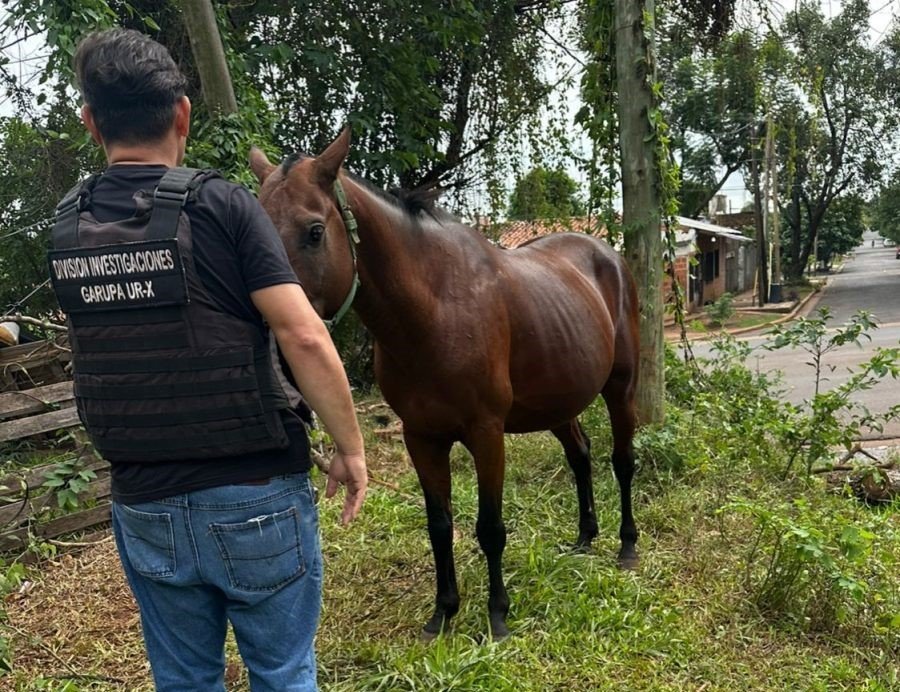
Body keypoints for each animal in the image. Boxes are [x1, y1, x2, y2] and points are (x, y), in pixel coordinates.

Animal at [250, 129, 640, 640]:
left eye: (314, 231)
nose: (274, 348)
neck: (434, 310)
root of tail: (607, 254)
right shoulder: (422, 437)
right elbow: (439, 525)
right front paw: (443, 612)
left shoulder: (486, 434)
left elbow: (490, 528)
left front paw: (498, 615)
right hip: (557, 401)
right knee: (580, 456)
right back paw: (583, 538)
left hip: (621, 387)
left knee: (622, 462)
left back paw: (627, 546)